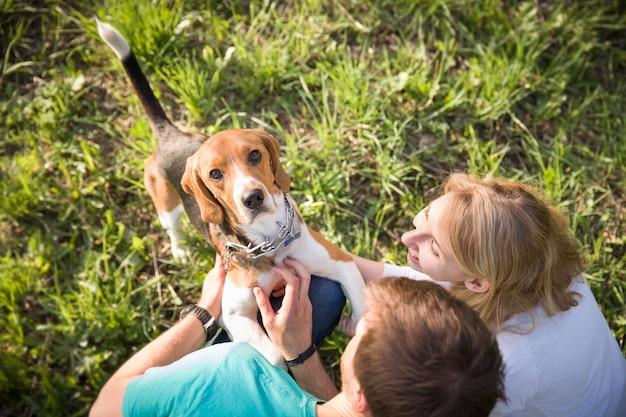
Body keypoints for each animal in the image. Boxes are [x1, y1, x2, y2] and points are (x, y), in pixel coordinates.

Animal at [97, 19, 366, 366]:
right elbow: (273, 355)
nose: (253, 198)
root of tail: (171, 134)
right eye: (215, 174)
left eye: (254, 155)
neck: (267, 242)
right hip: (166, 204)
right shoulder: (233, 314)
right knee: (172, 227)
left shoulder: (340, 262)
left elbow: (360, 300)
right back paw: (180, 249)